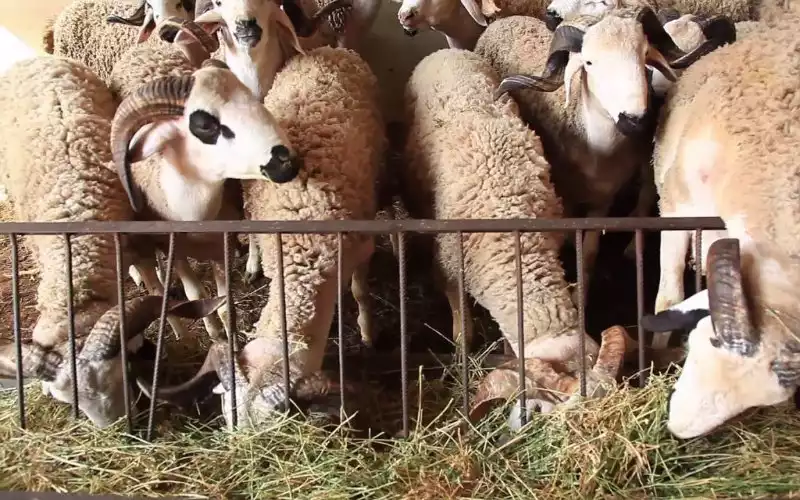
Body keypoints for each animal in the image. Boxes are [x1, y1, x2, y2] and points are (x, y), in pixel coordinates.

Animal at [473, 9, 731, 301]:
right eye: (589, 62)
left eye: (644, 54)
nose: (635, 120)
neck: (598, 151)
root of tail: (506, 19)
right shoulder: (564, 199)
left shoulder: (603, 201)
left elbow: (589, 254)